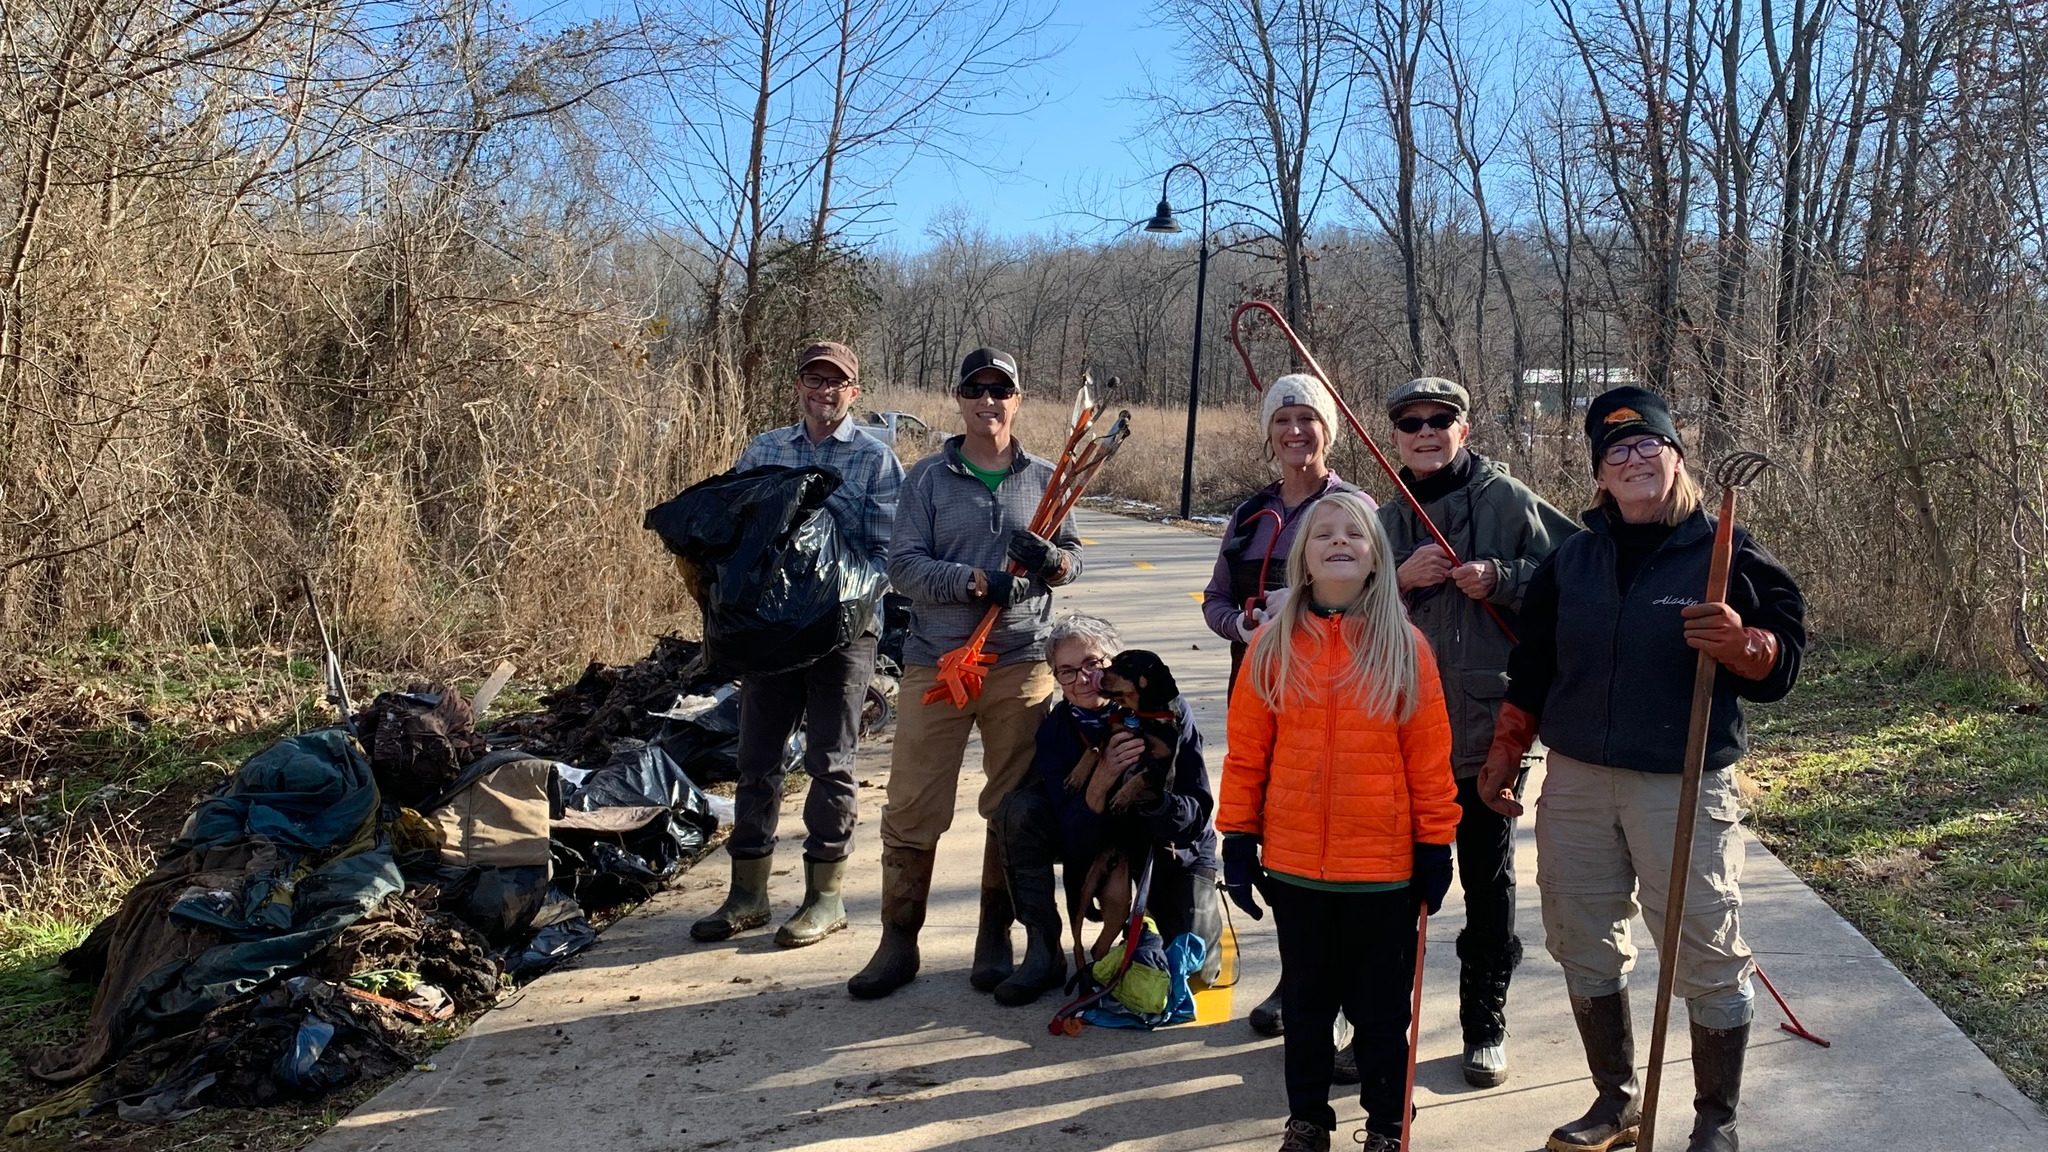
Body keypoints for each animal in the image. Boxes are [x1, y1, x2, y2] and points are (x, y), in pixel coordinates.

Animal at [1056, 651, 1187, 971]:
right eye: (1111, 661)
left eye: (1128, 665)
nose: (1099, 676)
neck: (1141, 719)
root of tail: (1115, 852)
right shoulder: (1113, 734)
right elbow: (1093, 749)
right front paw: (1077, 776)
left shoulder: (1161, 769)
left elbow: (1141, 776)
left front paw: (1123, 798)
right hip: (1082, 890)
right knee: (1078, 941)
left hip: (1120, 899)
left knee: (1099, 946)